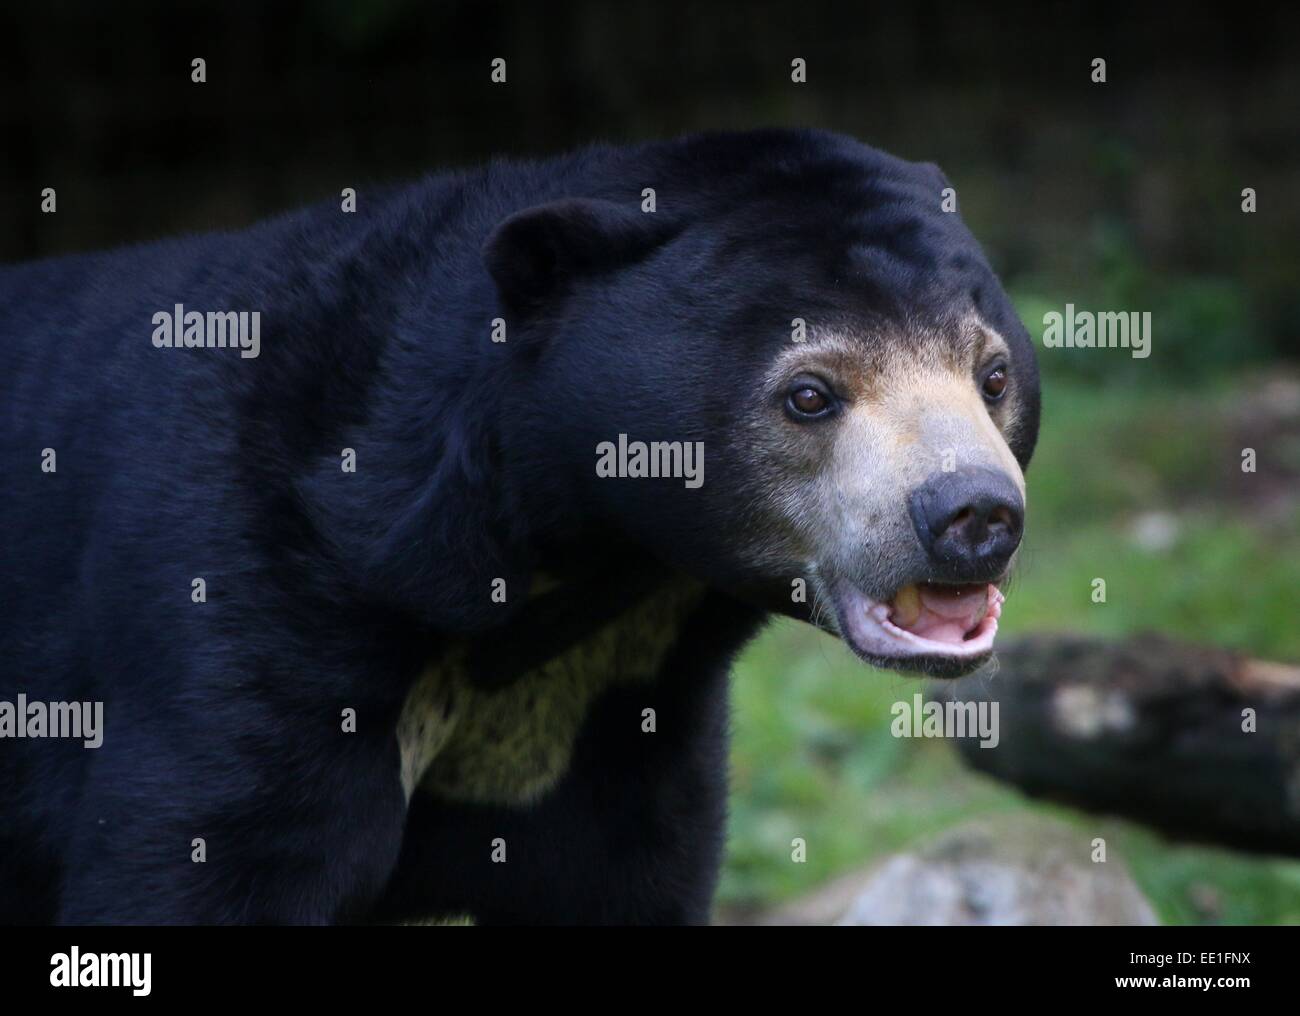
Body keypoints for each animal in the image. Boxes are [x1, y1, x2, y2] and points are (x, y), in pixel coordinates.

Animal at [0, 127, 1040, 925]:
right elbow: (210, 858)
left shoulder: (619, 734)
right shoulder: (247, 612)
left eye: (992, 375)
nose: (973, 514)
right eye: (811, 395)